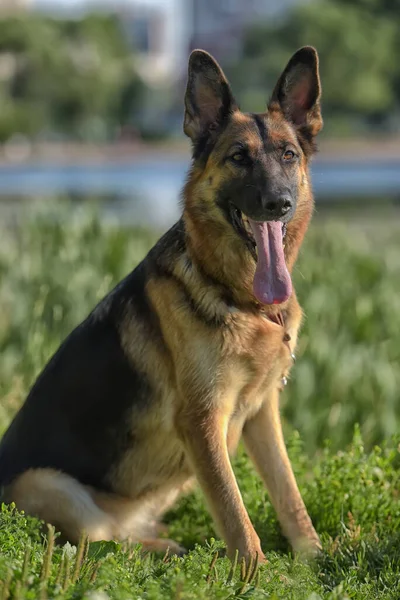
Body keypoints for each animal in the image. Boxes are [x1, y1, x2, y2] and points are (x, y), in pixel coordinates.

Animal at [0, 45, 322, 564]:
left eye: (288, 155)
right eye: (239, 157)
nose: (278, 203)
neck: (237, 296)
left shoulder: (261, 413)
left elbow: (288, 494)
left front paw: (313, 559)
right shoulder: (203, 421)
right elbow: (236, 515)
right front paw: (254, 572)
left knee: (118, 536)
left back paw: (166, 546)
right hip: (50, 486)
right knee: (96, 544)